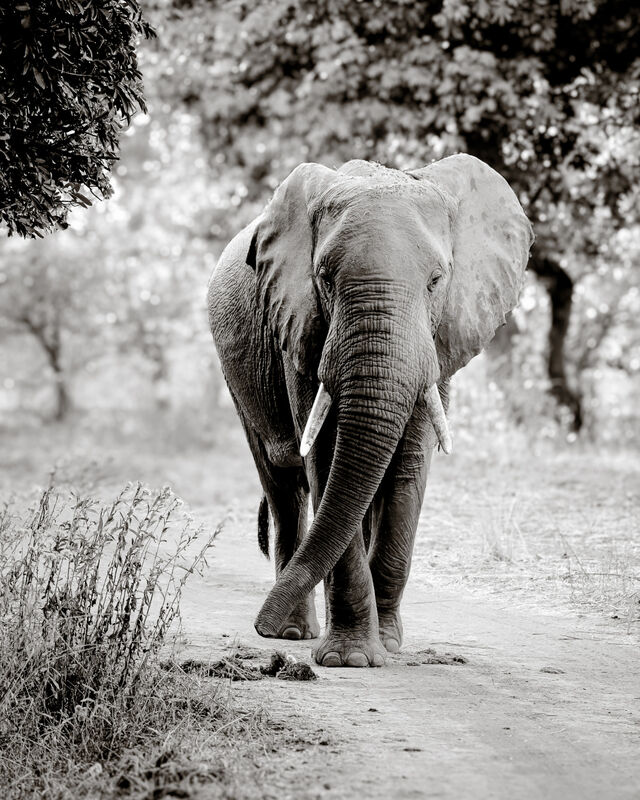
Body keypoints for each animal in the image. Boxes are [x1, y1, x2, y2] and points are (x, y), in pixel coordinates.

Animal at [207, 155, 533, 667]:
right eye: (324, 278)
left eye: (437, 281)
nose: (257, 626)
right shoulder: (301, 330)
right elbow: (324, 456)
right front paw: (351, 659)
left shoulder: (439, 341)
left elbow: (409, 466)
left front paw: (390, 645)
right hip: (238, 374)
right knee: (283, 487)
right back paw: (293, 632)